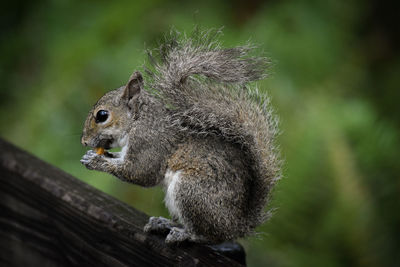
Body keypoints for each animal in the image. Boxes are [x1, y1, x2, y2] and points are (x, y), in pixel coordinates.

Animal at [80, 30, 282, 246]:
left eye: (102, 115)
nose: (84, 141)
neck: (139, 121)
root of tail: (236, 226)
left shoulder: (150, 143)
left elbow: (140, 173)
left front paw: (97, 162)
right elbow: (120, 159)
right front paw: (94, 156)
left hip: (191, 192)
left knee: (207, 235)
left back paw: (184, 233)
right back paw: (164, 223)